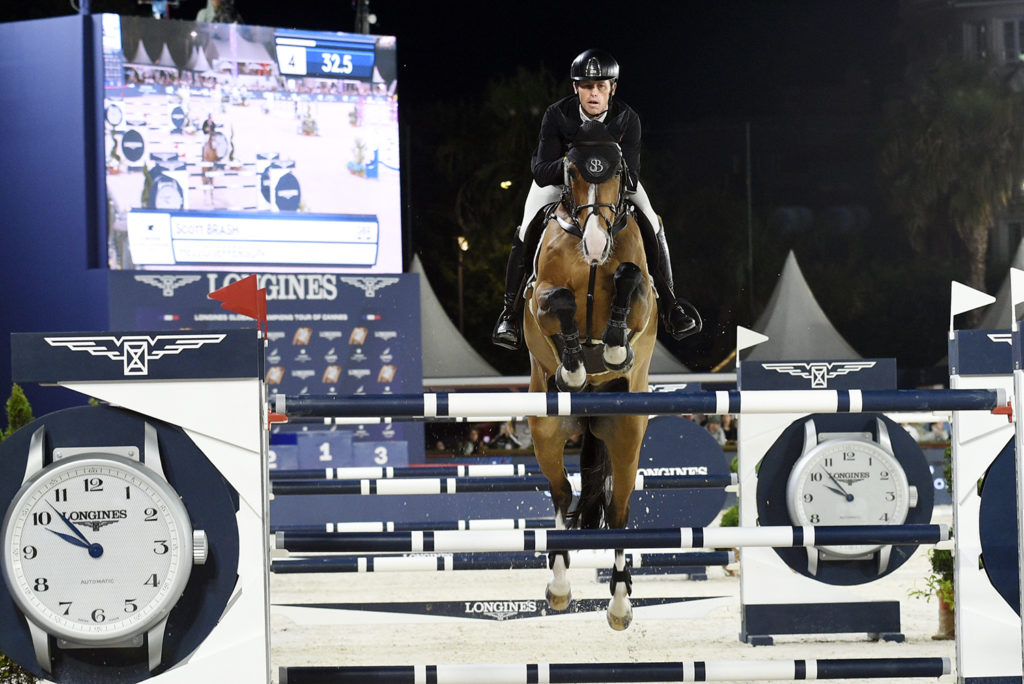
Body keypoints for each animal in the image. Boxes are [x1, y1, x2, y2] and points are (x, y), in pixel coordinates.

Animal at [524, 118, 659, 630]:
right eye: (570, 170)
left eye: (618, 171)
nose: (597, 244)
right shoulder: (539, 296)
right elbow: (558, 299)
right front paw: (576, 367)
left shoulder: (642, 295)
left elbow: (630, 278)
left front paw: (615, 349)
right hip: (545, 430)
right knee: (563, 497)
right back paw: (560, 587)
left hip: (626, 433)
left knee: (619, 512)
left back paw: (620, 604)